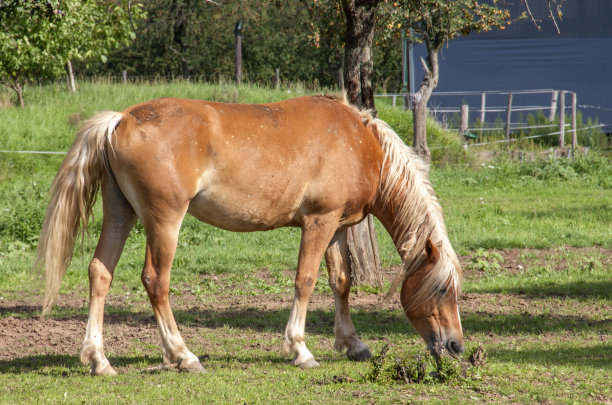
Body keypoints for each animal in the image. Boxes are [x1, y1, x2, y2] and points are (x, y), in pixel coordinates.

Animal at [35, 94, 462, 376]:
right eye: (442, 289)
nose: (456, 345)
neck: (360, 142)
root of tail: (121, 119)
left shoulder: (338, 227)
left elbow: (341, 281)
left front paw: (353, 344)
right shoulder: (319, 222)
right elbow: (305, 281)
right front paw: (300, 350)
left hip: (120, 214)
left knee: (100, 273)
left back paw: (99, 360)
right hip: (164, 220)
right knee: (156, 281)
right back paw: (183, 355)